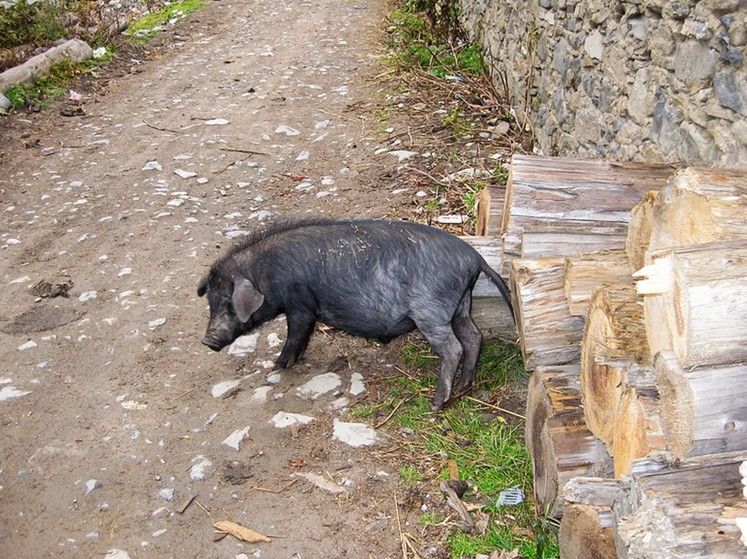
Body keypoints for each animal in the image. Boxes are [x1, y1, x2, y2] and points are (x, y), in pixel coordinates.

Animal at [199, 219, 516, 412]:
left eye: (228, 304)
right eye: (211, 304)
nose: (207, 341)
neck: (264, 275)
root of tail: (474, 258)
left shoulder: (300, 304)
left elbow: (295, 334)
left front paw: (277, 366)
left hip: (432, 311)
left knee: (454, 348)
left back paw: (437, 404)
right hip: (461, 305)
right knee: (474, 336)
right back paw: (464, 387)